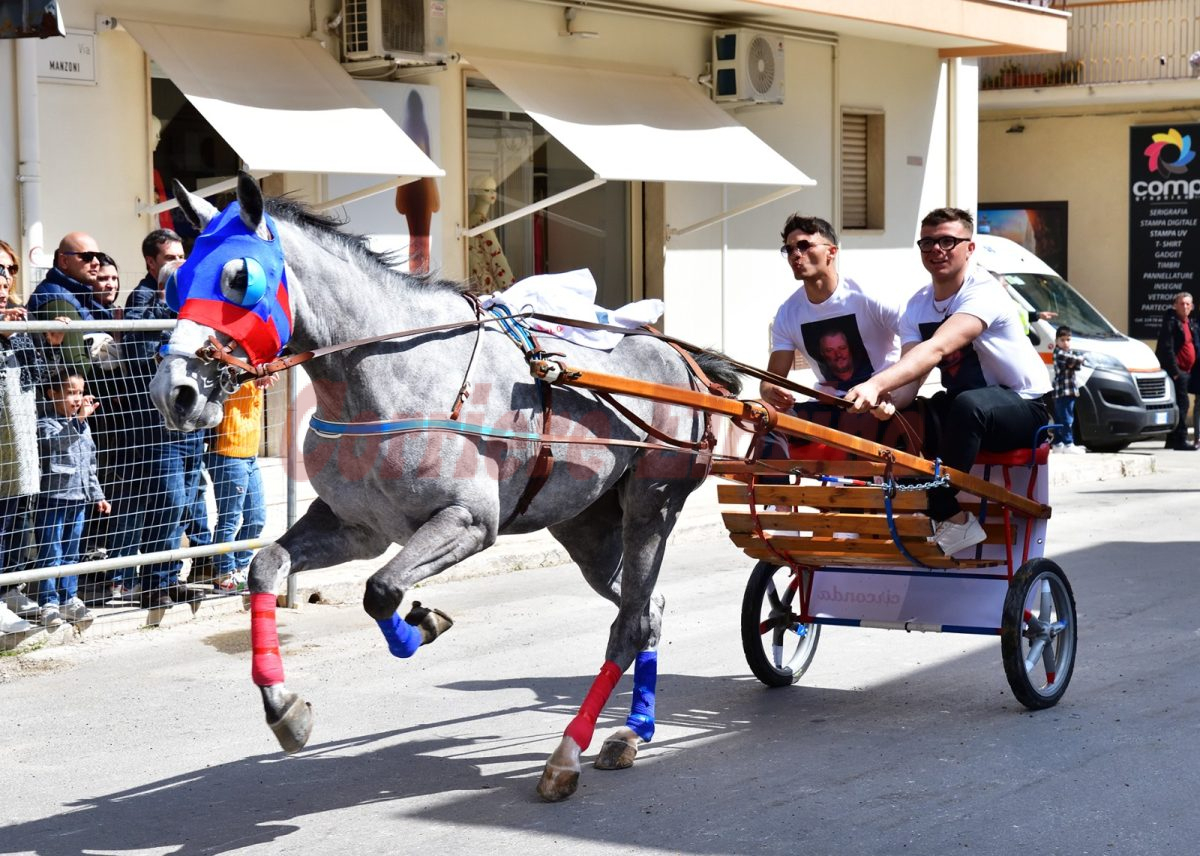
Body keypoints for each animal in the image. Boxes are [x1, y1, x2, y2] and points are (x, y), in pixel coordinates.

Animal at [145, 174, 734, 801]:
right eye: (175, 281)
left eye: (239, 277)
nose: (174, 393)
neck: (397, 379)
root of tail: (678, 355)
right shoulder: (357, 527)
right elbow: (267, 566)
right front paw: (285, 706)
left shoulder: (468, 522)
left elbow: (381, 590)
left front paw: (417, 628)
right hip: (587, 528)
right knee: (647, 608)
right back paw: (631, 731)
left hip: (650, 507)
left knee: (629, 624)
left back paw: (568, 753)